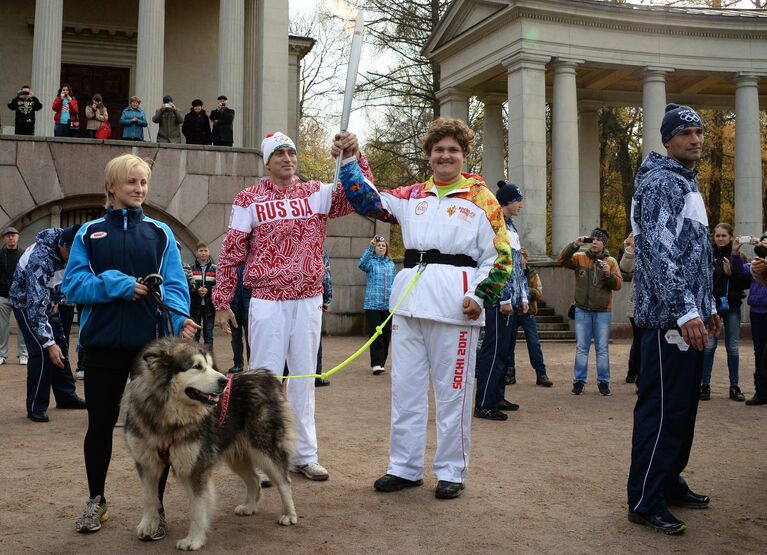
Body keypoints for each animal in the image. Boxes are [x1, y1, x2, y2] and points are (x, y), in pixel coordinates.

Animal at [122, 338, 296, 552]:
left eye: (211, 366)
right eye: (197, 366)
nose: (224, 381)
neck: (167, 417)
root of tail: (263, 375)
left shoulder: (196, 467)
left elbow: (198, 508)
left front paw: (193, 540)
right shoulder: (145, 463)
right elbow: (148, 498)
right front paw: (148, 525)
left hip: (263, 448)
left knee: (284, 480)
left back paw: (289, 514)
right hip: (237, 457)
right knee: (254, 479)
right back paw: (249, 507)